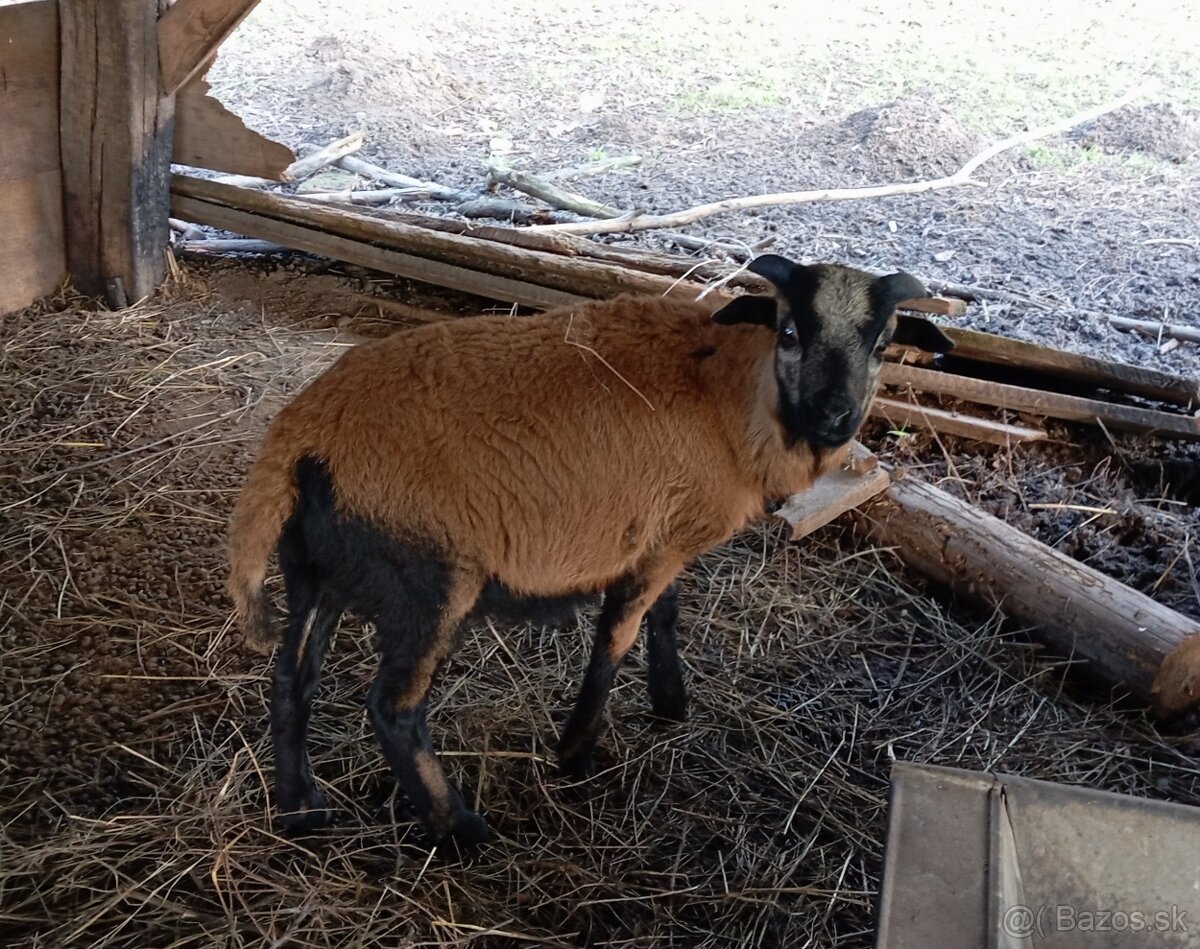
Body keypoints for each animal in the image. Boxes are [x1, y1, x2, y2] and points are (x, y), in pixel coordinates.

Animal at [225, 251, 945, 844]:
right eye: (791, 333)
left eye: (882, 345)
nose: (834, 416)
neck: (732, 391)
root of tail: (301, 434)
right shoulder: (661, 542)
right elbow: (615, 637)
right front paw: (575, 752)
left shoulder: (662, 533)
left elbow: (665, 613)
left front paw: (670, 700)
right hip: (429, 579)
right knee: (393, 708)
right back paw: (459, 830)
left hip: (318, 568)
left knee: (291, 678)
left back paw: (301, 807)